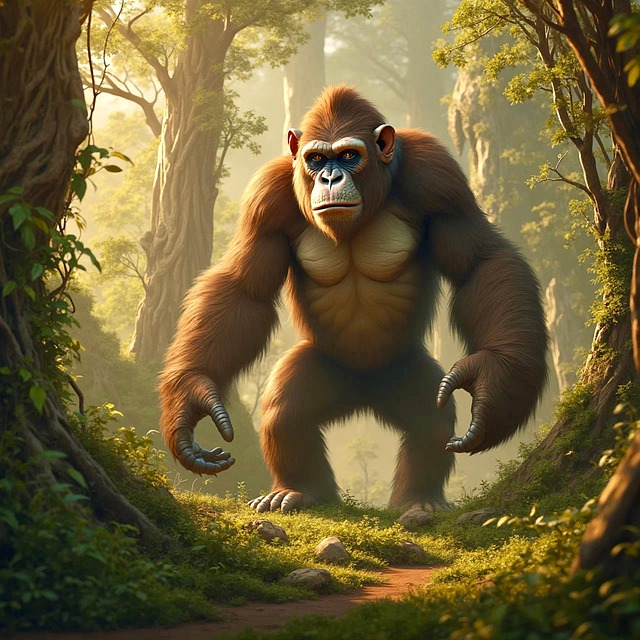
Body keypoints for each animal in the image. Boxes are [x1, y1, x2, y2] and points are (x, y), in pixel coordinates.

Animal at [159, 85, 548, 514]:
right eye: (315, 159)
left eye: (348, 155)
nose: (330, 176)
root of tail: (362, 394)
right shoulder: (266, 198)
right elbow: (243, 290)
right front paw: (192, 395)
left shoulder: (438, 177)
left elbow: (481, 263)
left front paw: (498, 383)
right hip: (326, 371)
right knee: (286, 412)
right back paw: (299, 490)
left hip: (400, 371)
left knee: (430, 421)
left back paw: (419, 501)